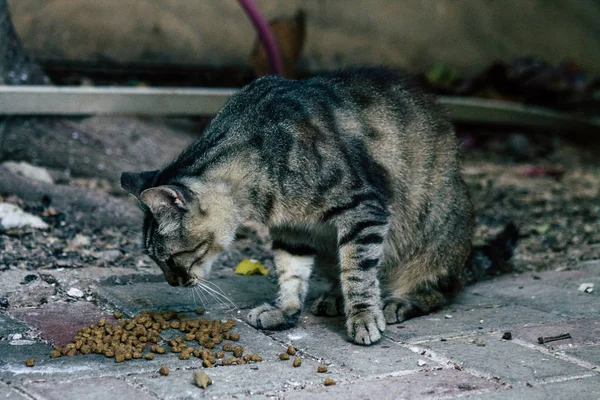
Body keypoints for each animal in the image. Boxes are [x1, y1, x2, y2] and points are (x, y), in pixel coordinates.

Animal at [122, 67, 516, 346]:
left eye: (170, 259)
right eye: (157, 261)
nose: (173, 283)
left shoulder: (363, 209)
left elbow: (358, 272)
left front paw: (363, 317)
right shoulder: (292, 230)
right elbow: (291, 273)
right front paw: (284, 311)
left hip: (438, 232)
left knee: (439, 289)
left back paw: (397, 302)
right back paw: (334, 298)